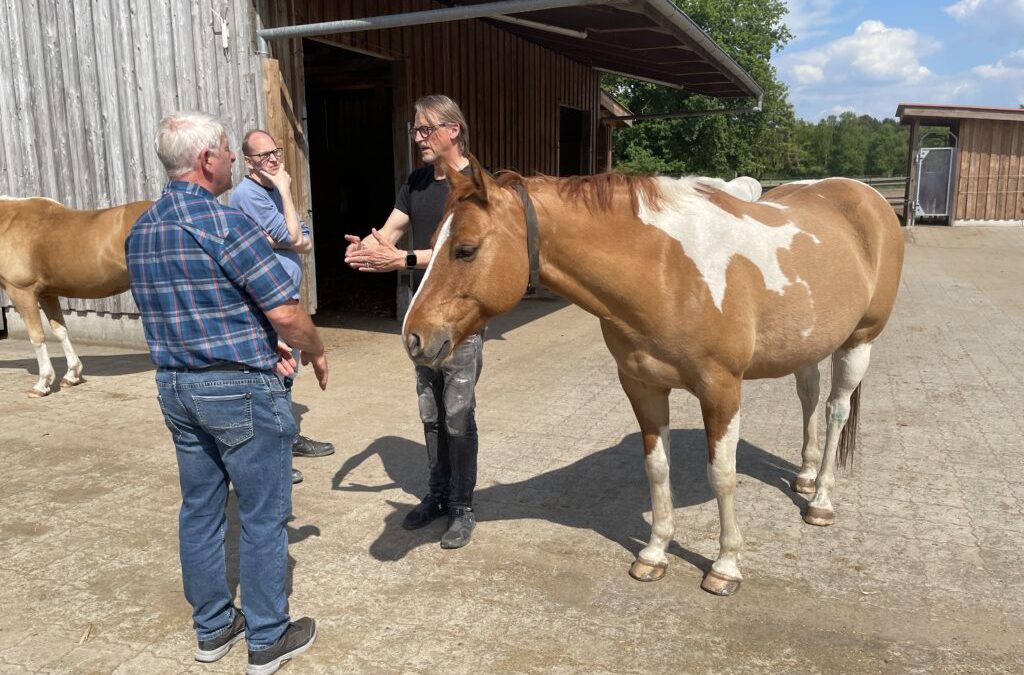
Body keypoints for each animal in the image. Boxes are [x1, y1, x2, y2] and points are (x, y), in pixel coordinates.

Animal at [0, 196, 153, 397]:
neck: (8, 223)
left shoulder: (21, 292)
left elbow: (37, 337)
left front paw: (42, 384)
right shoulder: (48, 294)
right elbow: (61, 331)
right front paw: (72, 375)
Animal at [402, 157, 904, 596]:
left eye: (465, 249)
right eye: (433, 241)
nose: (414, 337)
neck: (665, 269)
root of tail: (868, 197)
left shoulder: (721, 389)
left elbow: (722, 473)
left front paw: (725, 566)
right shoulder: (642, 386)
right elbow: (657, 468)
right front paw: (655, 553)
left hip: (859, 341)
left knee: (836, 410)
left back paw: (820, 501)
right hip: (808, 345)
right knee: (809, 396)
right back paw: (804, 476)